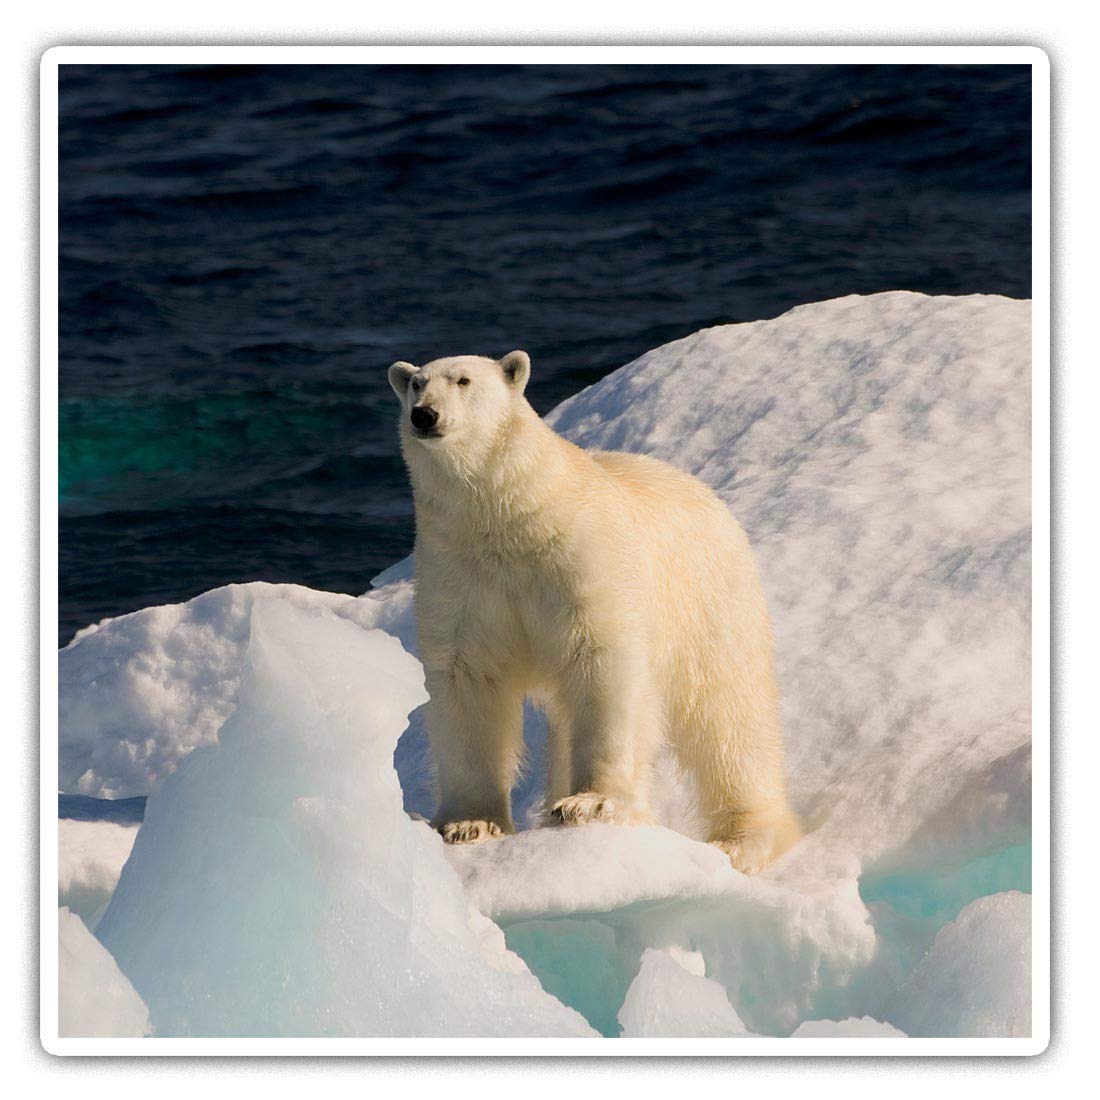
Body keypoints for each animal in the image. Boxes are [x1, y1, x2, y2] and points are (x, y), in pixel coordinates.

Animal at [387, 349, 801, 874]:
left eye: (463, 380)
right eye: (415, 385)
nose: (425, 415)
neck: (508, 519)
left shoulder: (582, 560)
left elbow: (601, 662)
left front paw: (591, 804)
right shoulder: (459, 571)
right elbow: (468, 679)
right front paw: (468, 824)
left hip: (708, 599)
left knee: (728, 713)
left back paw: (742, 839)